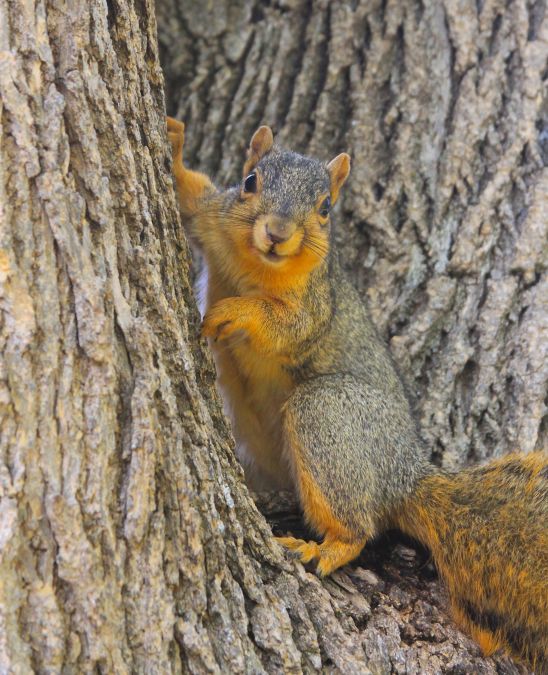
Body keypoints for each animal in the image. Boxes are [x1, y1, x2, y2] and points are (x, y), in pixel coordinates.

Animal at [167, 116, 548, 671]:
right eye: (250, 181)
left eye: (325, 208)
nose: (277, 234)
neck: (259, 267)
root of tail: (404, 476)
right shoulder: (214, 219)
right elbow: (192, 199)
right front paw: (172, 143)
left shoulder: (313, 307)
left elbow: (283, 326)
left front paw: (234, 312)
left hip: (330, 415)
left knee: (357, 526)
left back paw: (323, 549)